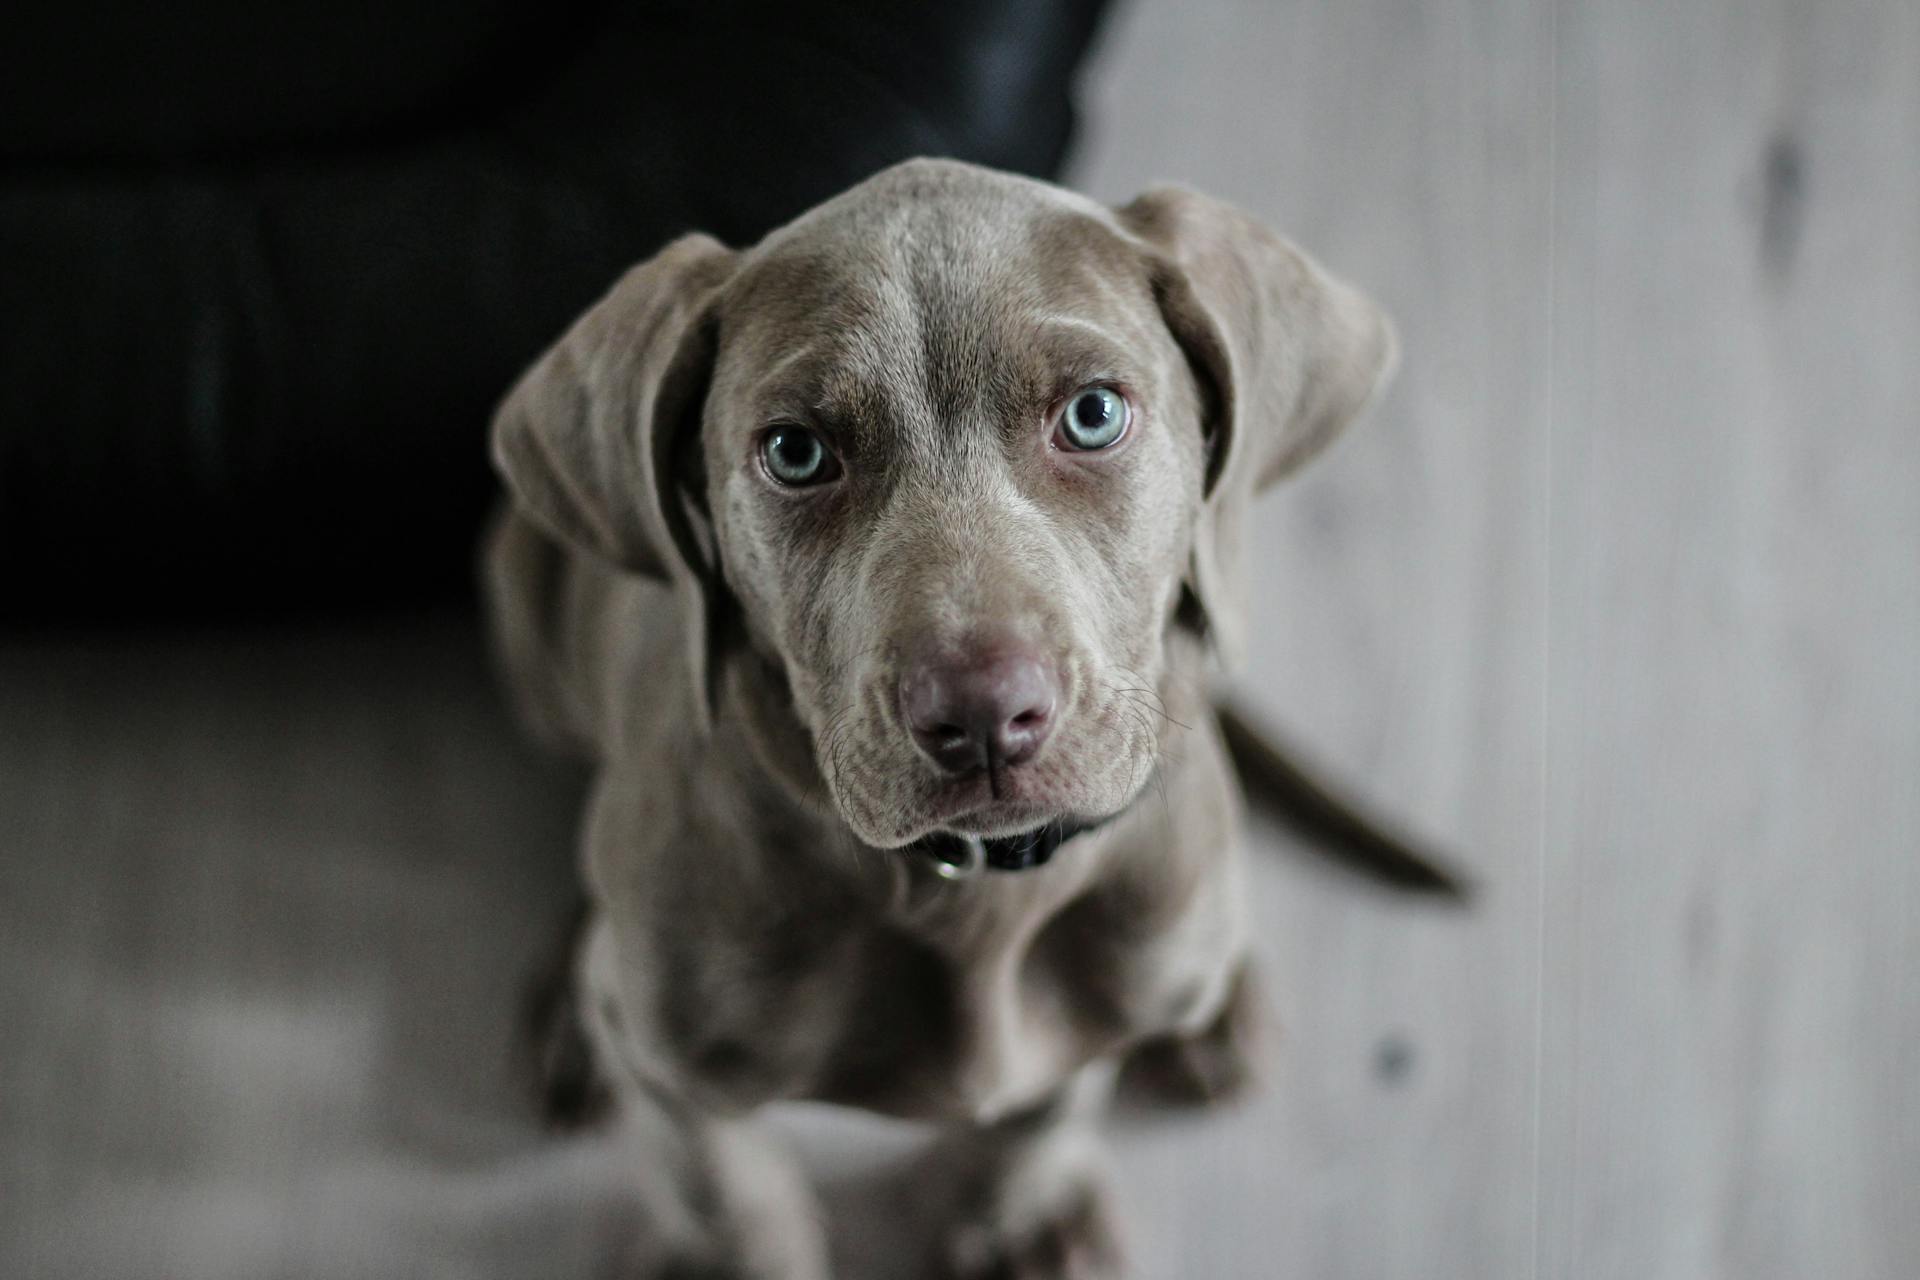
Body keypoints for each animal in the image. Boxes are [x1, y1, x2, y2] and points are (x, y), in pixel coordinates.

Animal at [483, 155, 1397, 1274]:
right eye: (795, 452)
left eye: (1094, 415)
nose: (985, 716)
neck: (971, 888)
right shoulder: (674, 1069)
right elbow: (723, 1188)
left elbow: (1049, 1104)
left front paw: (1020, 1216)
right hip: (523, 604)